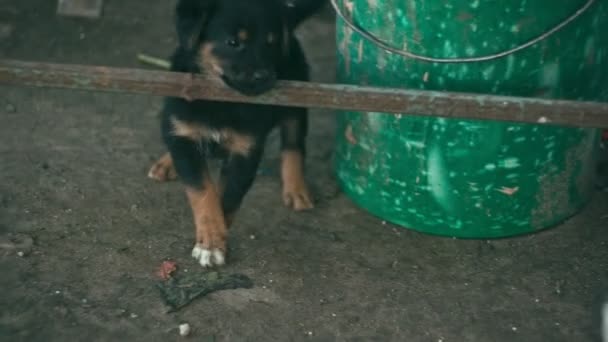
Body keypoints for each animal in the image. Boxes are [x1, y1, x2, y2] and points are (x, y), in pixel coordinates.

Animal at [149, 0, 326, 268]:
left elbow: (229, 197)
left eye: (271, 43)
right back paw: (166, 162)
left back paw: (296, 189)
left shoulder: (246, 151)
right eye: (233, 42)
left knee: (293, 145)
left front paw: (214, 243)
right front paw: (211, 241)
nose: (265, 77)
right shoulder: (184, 136)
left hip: (296, 102)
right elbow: (203, 192)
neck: (221, 100)